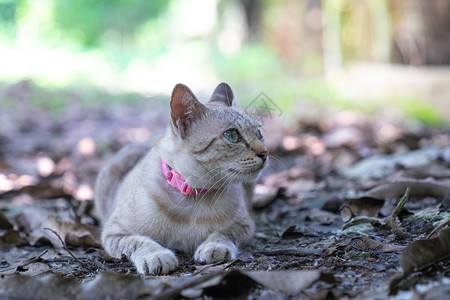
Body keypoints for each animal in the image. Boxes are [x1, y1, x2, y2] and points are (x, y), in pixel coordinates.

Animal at [94, 82, 268, 274]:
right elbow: (138, 241)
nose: (265, 153)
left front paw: (214, 247)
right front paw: (157, 256)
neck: (194, 195)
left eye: (258, 132)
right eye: (232, 135)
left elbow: (224, 233)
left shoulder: (244, 225)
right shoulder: (114, 231)